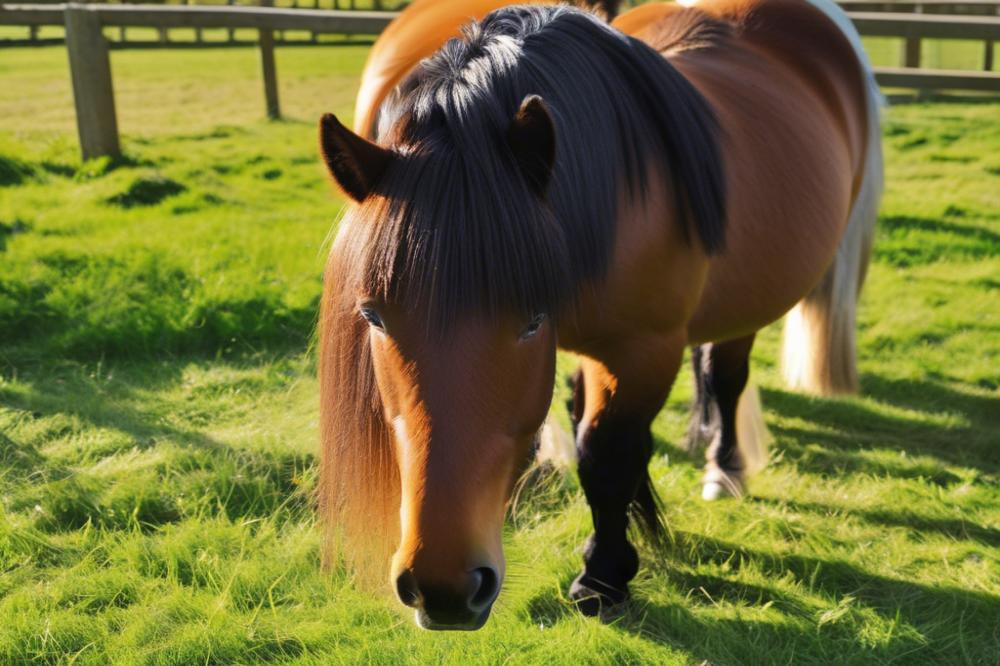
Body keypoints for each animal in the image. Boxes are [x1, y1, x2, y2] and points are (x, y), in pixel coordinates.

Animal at [316, 0, 880, 628]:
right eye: (374, 316)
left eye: (533, 318)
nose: (443, 590)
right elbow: (584, 421)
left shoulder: (642, 350)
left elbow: (605, 456)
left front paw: (603, 576)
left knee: (726, 376)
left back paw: (725, 466)